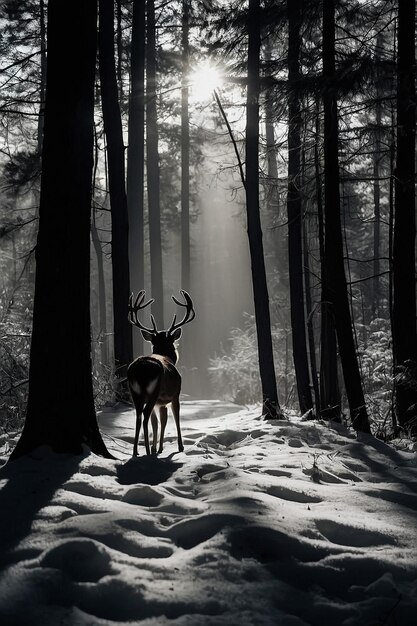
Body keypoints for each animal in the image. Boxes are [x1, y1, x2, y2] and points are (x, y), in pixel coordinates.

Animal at [127, 288, 195, 454]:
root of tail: (140, 370)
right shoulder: (176, 394)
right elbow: (175, 418)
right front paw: (180, 446)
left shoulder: (160, 403)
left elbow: (159, 422)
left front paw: (158, 447)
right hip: (154, 390)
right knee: (144, 415)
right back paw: (146, 451)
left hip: (134, 392)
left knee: (139, 415)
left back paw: (136, 451)